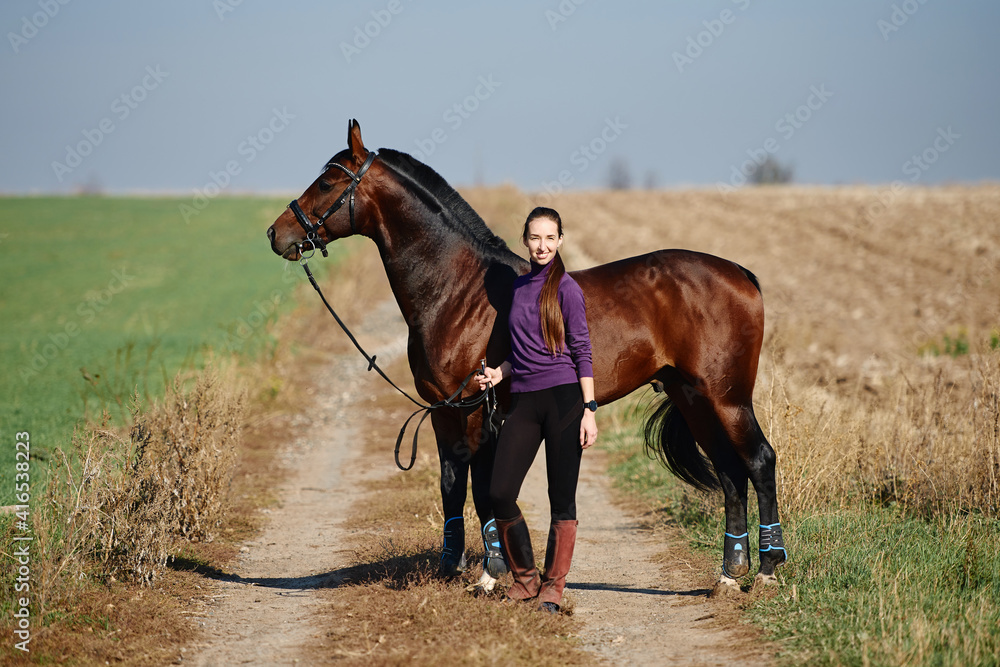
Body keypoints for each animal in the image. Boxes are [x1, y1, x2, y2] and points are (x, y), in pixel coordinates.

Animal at [270, 122, 784, 592]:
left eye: (328, 182)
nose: (277, 233)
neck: (459, 292)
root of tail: (740, 274)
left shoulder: (476, 408)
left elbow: (482, 488)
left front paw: (492, 572)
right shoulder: (442, 411)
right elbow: (451, 485)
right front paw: (450, 565)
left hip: (727, 398)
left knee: (759, 461)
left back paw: (768, 567)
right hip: (691, 396)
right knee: (730, 473)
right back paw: (730, 573)